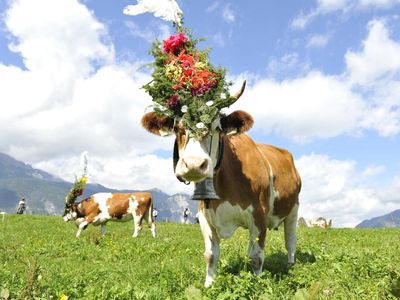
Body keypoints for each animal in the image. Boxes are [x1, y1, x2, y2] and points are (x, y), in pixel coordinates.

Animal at [141, 81, 300, 288]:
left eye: (216, 128)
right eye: (177, 129)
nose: (194, 164)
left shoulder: (259, 215)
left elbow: (256, 257)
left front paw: (257, 283)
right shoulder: (204, 216)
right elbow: (210, 255)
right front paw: (208, 285)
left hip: (293, 208)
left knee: (290, 240)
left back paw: (290, 264)